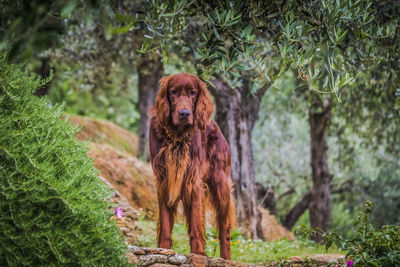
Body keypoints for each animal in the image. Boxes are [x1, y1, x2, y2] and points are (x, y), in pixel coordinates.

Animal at [148, 71, 233, 260]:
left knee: (224, 230)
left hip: (221, 186)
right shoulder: (164, 180)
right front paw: (163, 249)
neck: (177, 136)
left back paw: (225, 258)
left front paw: (198, 252)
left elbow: (195, 222)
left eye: (193, 93)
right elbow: (165, 222)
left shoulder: (193, 181)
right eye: (173, 92)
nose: (184, 113)